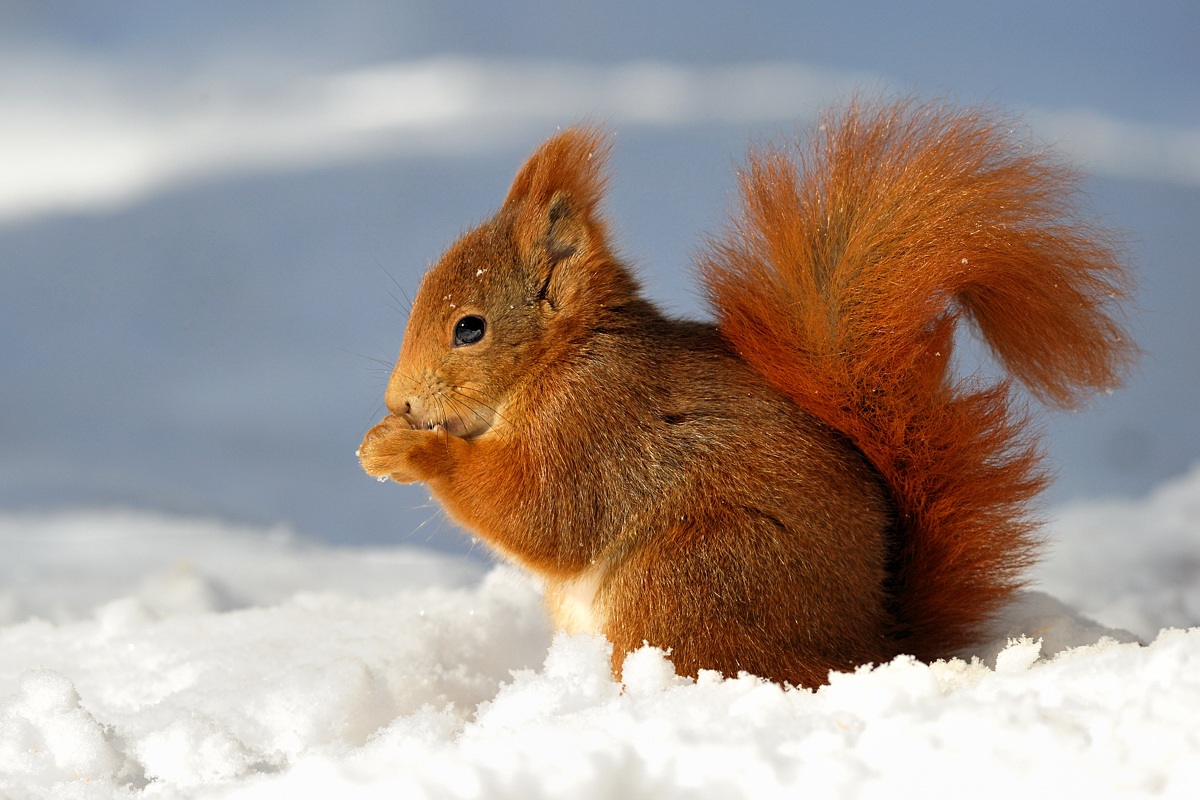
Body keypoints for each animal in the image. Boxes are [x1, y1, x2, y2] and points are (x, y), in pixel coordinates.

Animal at [358, 98, 1133, 688]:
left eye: (469, 328)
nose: (401, 403)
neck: (561, 359)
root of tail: (874, 648)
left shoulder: (592, 424)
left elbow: (537, 512)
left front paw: (404, 451)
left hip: (689, 579)